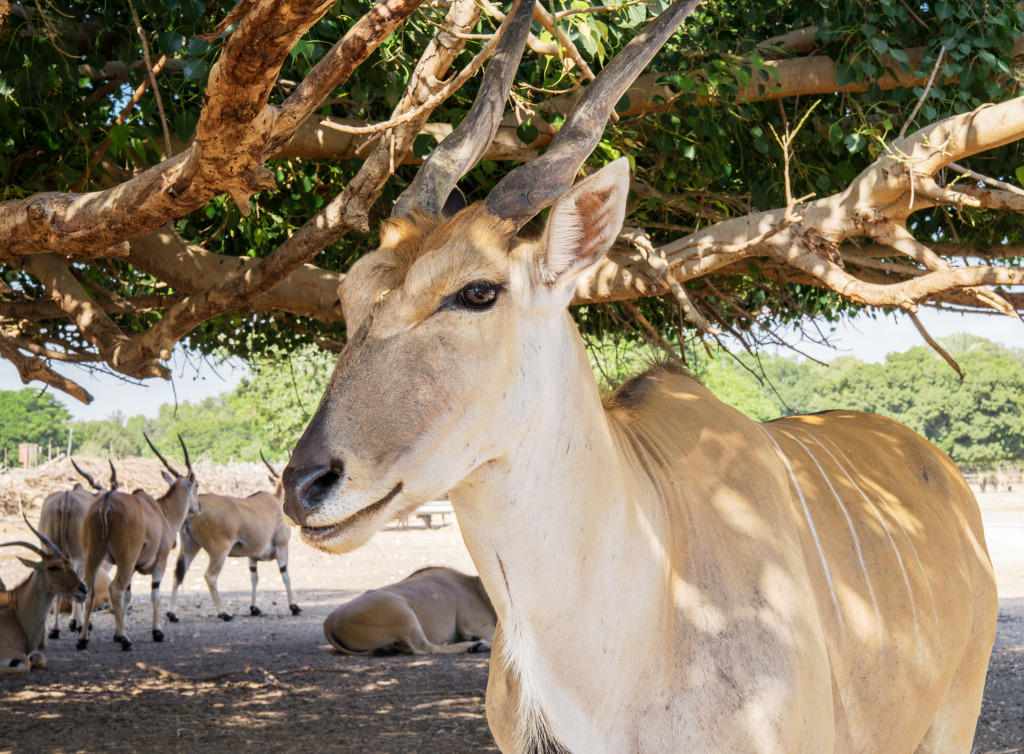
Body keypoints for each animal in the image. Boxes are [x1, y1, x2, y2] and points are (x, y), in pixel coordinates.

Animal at [0, 510, 87, 676]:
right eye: (52, 567)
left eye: (68, 562)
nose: (83, 589)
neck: (14, 612)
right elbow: (26, 663)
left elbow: (39, 658)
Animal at [76, 432, 198, 651]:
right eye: (197, 485)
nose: (198, 507)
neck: (162, 511)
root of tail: (105, 505)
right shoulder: (159, 562)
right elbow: (154, 594)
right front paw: (156, 632)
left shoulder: (132, 568)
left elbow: (128, 596)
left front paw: (118, 633)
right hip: (125, 560)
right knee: (114, 589)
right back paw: (126, 641)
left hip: (94, 557)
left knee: (91, 590)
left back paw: (82, 640)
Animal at [165, 450, 299, 622]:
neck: (276, 500)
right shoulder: (282, 547)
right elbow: (286, 576)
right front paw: (294, 606)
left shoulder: (252, 556)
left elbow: (254, 578)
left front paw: (254, 608)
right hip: (219, 552)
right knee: (210, 576)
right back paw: (224, 612)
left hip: (189, 548)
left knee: (178, 574)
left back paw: (172, 614)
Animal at [321, 565, 493, 655]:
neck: (475, 587)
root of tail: (329, 622)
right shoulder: (475, 626)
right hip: (404, 614)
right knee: (424, 648)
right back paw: (474, 645)